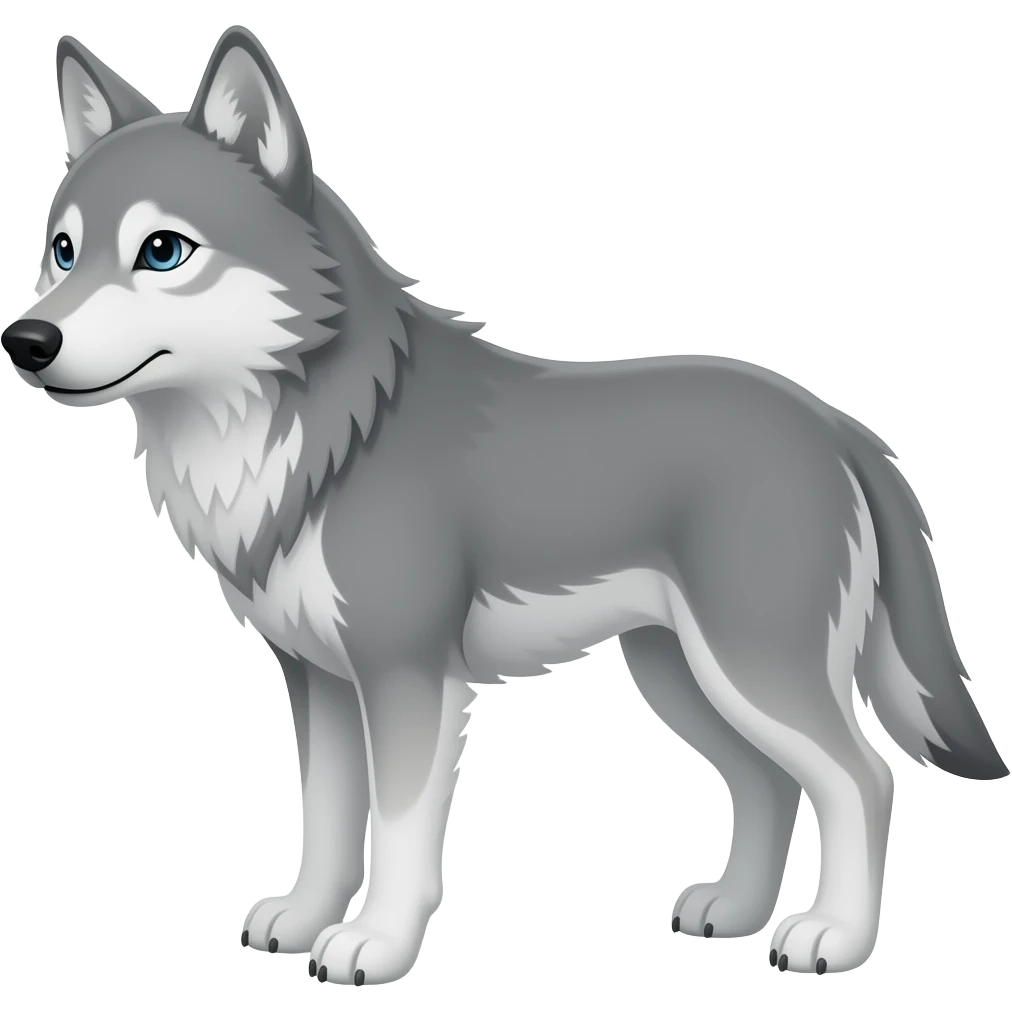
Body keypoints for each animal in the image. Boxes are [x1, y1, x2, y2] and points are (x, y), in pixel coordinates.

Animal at [2, 26, 1005, 986]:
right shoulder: (319, 679)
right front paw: (304, 918)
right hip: (681, 675)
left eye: (162, 251)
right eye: (62, 250)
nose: (27, 340)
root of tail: (836, 423)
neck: (326, 434)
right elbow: (326, 818)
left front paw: (374, 945)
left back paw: (833, 936)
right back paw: (734, 912)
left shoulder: (405, 674)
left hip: (751, 669)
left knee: (862, 781)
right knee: (768, 784)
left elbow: (398, 831)